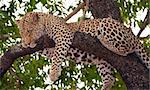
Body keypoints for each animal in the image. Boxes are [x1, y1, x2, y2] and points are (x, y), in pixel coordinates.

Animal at [15, 11, 149, 89]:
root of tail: (133, 36)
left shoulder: (64, 34)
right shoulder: (49, 48)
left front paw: (54, 73)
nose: (26, 42)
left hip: (107, 24)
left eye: (29, 31)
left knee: (127, 49)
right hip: (102, 62)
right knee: (110, 79)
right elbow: (53, 53)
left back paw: (103, 40)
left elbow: (58, 54)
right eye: (21, 33)